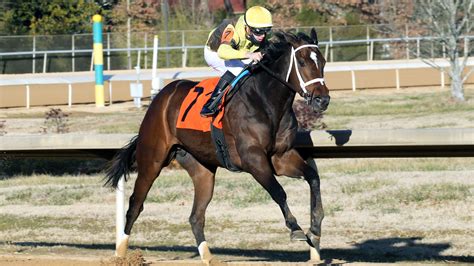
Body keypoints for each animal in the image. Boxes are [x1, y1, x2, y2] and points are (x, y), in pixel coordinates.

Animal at [106, 28, 332, 262]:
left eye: (323, 61)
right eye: (302, 62)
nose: (322, 100)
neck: (265, 101)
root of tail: (162, 96)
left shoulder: (281, 157)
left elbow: (313, 177)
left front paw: (315, 227)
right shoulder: (253, 159)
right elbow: (279, 192)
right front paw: (296, 228)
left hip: (202, 169)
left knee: (196, 216)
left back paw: (208, 257)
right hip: (152, 161)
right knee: (135, 205)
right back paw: (121, 255)